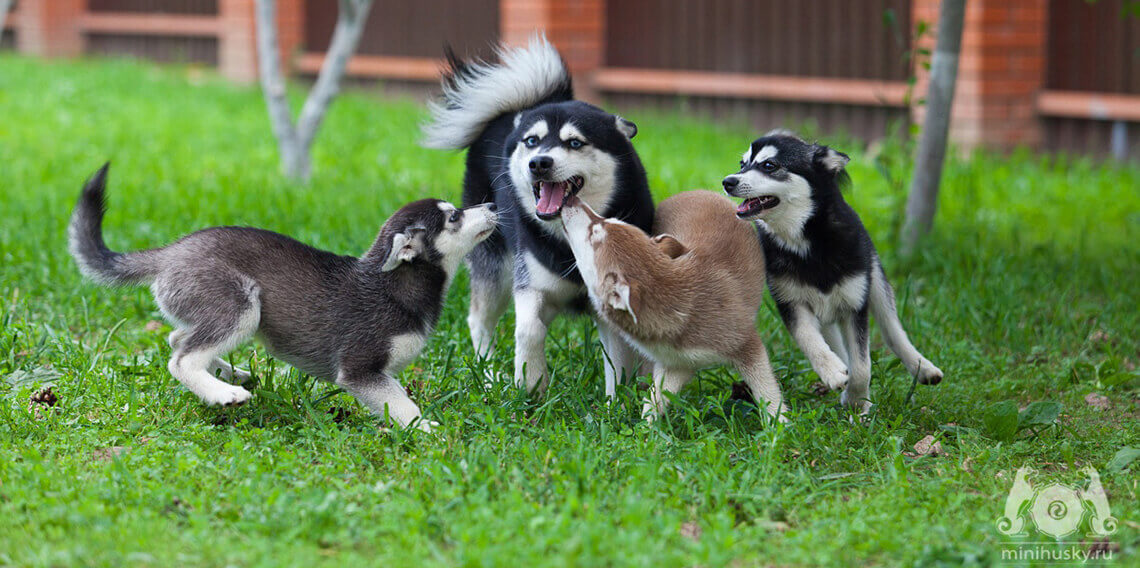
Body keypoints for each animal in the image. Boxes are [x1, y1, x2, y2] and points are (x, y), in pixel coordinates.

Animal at [68, 163, 497, 431]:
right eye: (454, 217)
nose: (493, 203)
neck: (393, 287)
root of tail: (170, 252)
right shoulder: (359, 371)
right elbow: (404, 405)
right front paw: (427, 430)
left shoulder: (378, 375)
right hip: (243, 306)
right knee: (181, 358)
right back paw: (225, 393)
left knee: (177, 338)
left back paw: (232, 374)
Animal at [419, 37, 656, 396]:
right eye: (532, 141)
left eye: (575, 143)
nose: (539, 162)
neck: (569, 235)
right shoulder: (530, 283)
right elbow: (529, 328)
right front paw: (530, 383)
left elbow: (617, 359)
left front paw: (616, 403)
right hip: (496, 262)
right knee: (480, 320)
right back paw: (489, 375)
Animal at [558, 190, 788, 422]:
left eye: (593, 233)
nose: (571, 199)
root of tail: (692, 192)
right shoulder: (677, 363)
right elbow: (654, 398)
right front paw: (646, 427)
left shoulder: (745, 343)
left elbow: (766, 390)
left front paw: (780, 422)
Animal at [720, 131, 943, 410]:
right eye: (742, 164)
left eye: (769, 165)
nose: (727, 181)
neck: (806, 242)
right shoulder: (791, 302)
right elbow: (809, 338)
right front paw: (834, 373)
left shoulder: (854, 303)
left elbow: (863, 366)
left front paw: (856, 400)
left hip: (875, 281)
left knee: (892, 329)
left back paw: (923, 367)